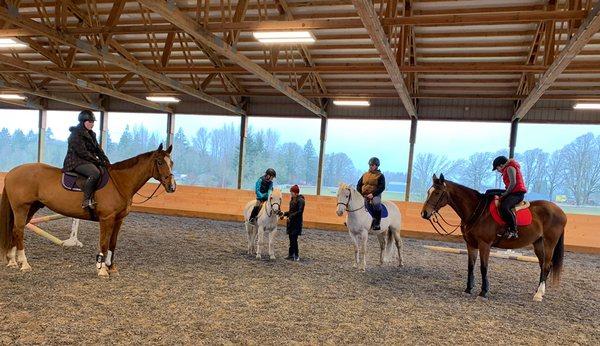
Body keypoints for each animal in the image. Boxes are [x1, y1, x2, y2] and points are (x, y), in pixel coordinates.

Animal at [1, 143, 176, 276]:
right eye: (160, 162)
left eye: (171, 162)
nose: (172, 187)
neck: (119, 182)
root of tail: (11, 173)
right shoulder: (106, 219)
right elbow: (104, 243)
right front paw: (102, 270)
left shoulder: (118, 220)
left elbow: (113, 243)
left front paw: (112, 268)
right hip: (21, 208)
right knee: (18, 231)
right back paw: (24, 264)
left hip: (31, 208)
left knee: (16, 230)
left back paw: (12, 261)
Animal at [420, 174, 564, 302]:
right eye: (428, 192)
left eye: (437, 192)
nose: (424, 213)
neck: (477, 211)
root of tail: (560, 211)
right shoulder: (471, 244)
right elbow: (470, 266)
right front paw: (468, 289)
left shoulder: (485, 245)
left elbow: (484, 267)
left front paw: (483, 292)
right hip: (538, 243)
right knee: (543, 265)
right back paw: (539, 291)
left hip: (549, 243)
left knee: (546, 265)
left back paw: (538, 295)